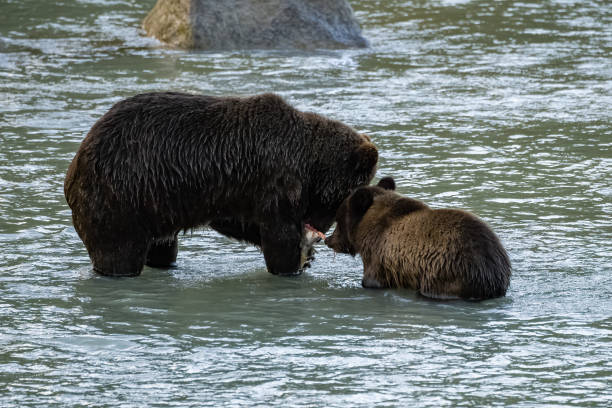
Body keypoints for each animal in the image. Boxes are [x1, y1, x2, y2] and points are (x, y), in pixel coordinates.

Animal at [64, 92, 376, 278]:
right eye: (342, 201)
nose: (319, 234)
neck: (307, 164)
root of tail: (74, 167)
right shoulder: (273, 181)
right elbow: (278, 236)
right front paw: (292, 264)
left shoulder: (238, 192)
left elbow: (240, 222)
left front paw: (306, 256)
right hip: (121, 199)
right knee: (119, 253)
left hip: (155, 207)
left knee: (163, 248)